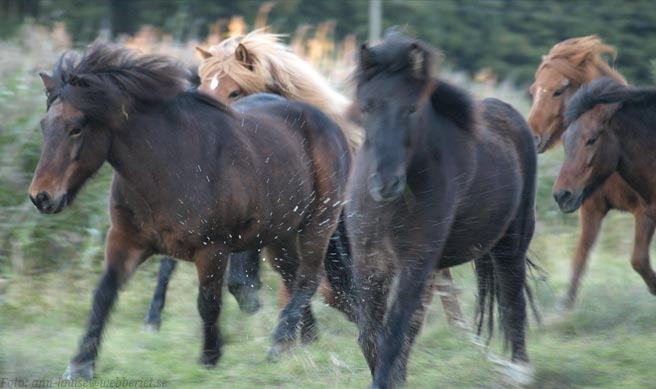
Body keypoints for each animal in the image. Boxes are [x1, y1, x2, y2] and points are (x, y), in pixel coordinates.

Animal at [348, 34, 540, 388]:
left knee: (512, 299)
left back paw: (519, 371)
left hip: (510, 243)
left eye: (411, 109)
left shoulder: (415, 263)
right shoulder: (370, 262)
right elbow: (371, 336)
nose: (385, 183)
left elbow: (391, 334)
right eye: (366, 106)